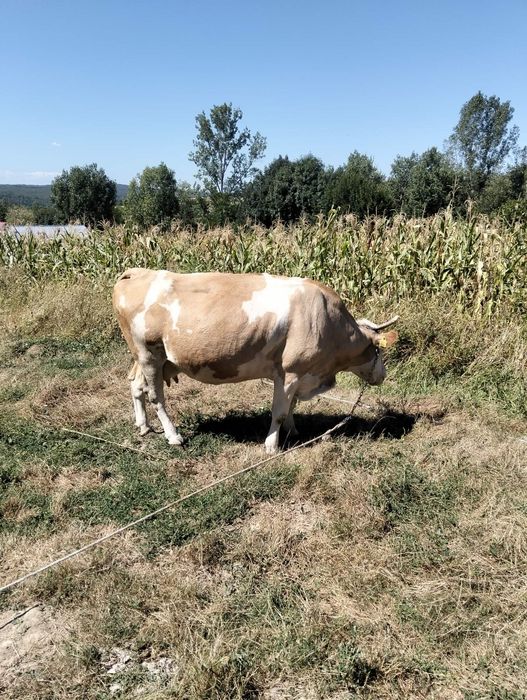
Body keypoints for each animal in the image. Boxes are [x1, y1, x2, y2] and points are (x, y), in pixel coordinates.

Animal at [113, 268, 398, 454]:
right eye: (378, 350)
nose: (383, 375)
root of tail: (137, 272)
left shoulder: (297, 374)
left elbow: (291, 406)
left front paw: (293, 431)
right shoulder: (291, 371)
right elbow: (280, 411)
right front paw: (271, 445)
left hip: (149, 358)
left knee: (136, 385)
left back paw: (144, 425)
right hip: (149, 354)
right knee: (155, 396)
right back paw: (173, 436)